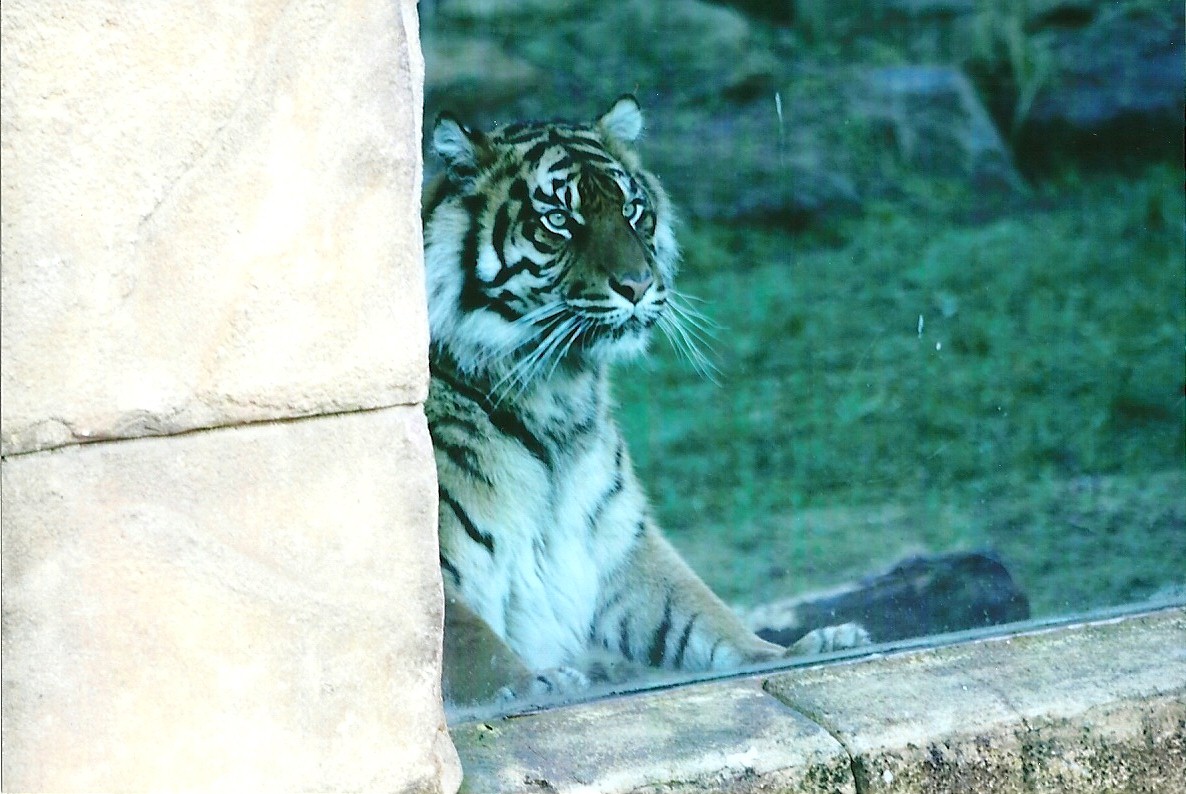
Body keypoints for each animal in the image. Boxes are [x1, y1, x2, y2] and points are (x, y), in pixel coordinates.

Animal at [422, 96, 867, 710]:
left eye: (632, 211)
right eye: (559, 220)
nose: (637, 285)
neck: (558, 391)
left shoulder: (616, 540)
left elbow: (703, 616)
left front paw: (802, 650)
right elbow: (465, 644)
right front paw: (536, 685)